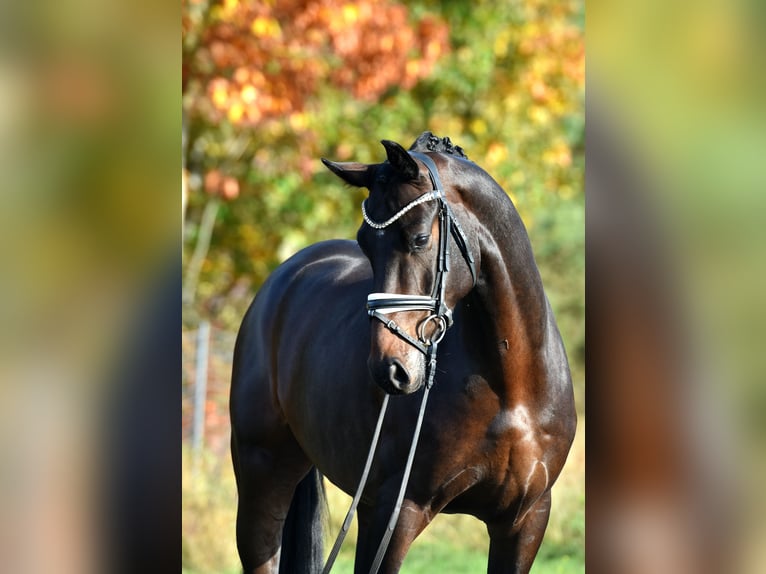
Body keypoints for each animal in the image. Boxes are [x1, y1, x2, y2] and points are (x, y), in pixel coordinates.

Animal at [229, 132, 577, 573]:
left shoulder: (525, 520)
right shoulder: (391, 513)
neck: (511, 389)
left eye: (420, 239)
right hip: (262, 477)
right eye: (365, 244)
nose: (389, 369)